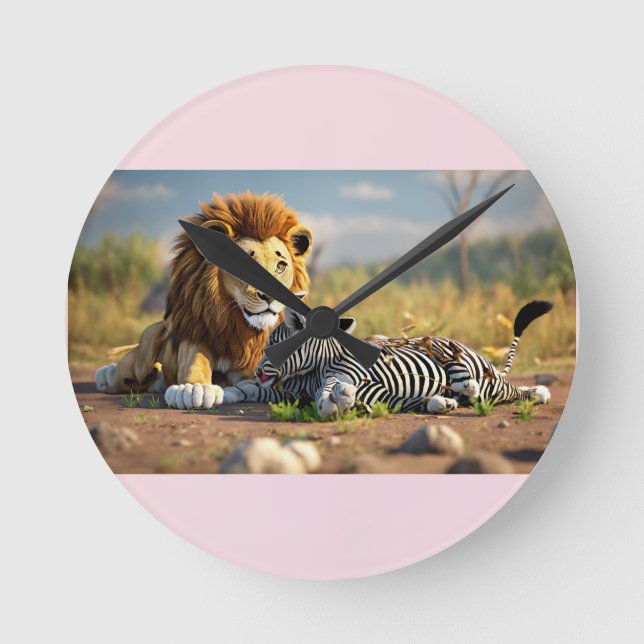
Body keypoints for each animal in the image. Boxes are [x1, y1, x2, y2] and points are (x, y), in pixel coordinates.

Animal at [95, 192, 313, 409]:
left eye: (280, 266)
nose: (269, 296)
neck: (236, 324)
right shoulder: (196, 338)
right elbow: (195, 364)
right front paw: (194, 389)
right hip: (145, 353)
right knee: (130, 370)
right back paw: (106, 376)